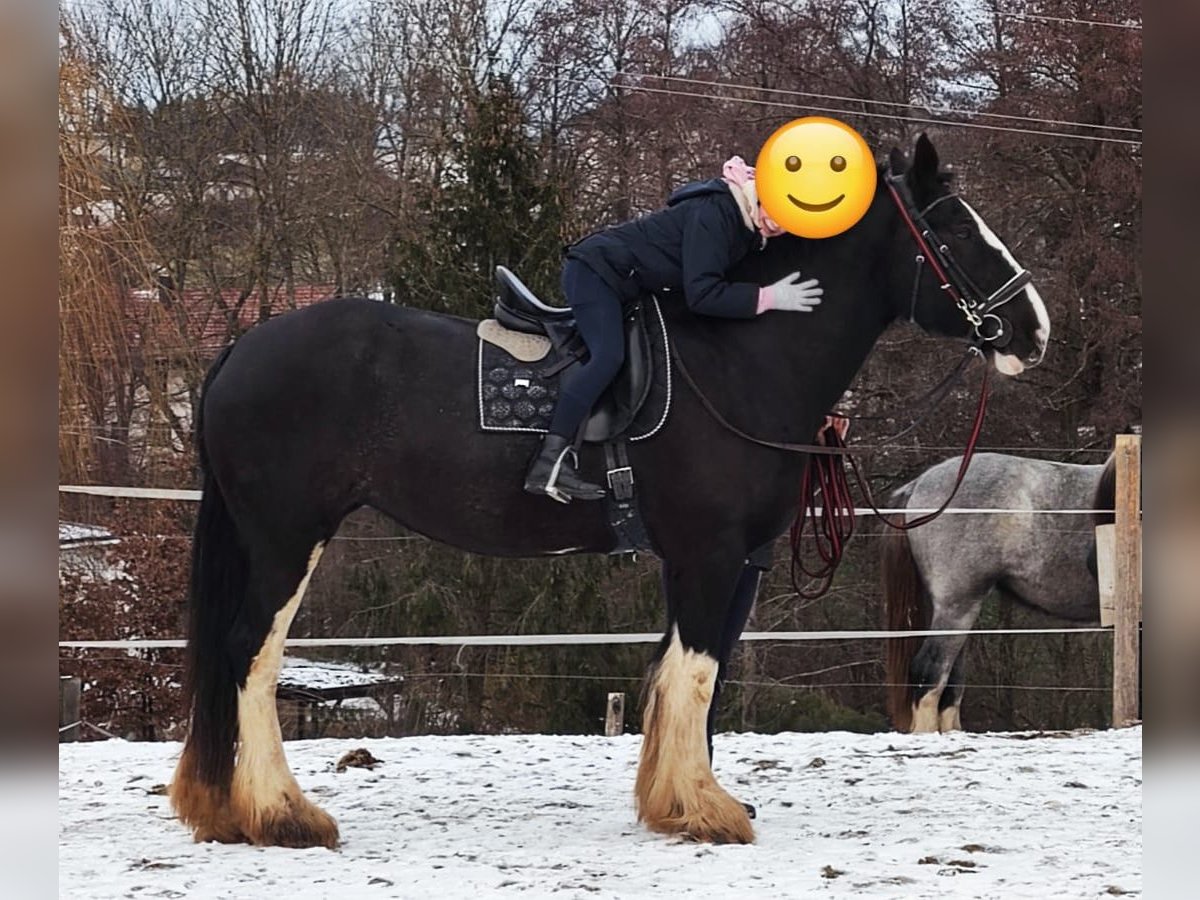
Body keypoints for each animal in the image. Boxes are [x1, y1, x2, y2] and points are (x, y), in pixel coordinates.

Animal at [169, 130, 1051, 849]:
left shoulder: (734, 559)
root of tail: (242, 347)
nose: (1033, 330)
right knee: (251, 652)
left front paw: (677, 801)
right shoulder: (708, 553)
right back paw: (281, 814)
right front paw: (705, 810)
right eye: (952, 228)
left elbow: (686, 671)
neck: (740, 360)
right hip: (286, 536)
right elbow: (695, 674)